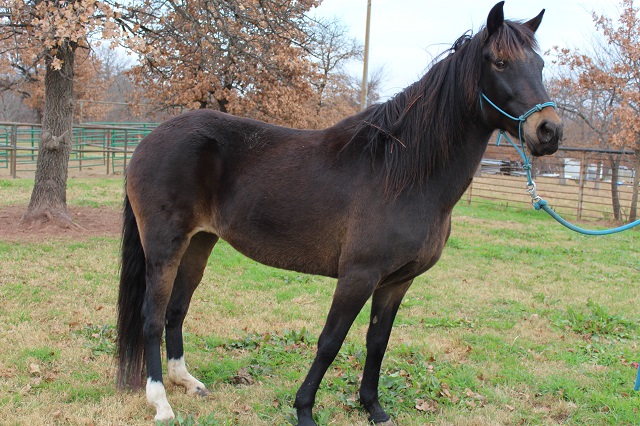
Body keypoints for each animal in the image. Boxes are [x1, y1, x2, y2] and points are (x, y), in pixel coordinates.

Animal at [115, 2, 560, 422]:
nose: (549, 131)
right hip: (164, 247)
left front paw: (373, 408)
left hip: (200, 242)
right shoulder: (357, 276)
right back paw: (160, 402)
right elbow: (330, 341)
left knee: (176, 310)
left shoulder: (396, 283)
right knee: (152, 317)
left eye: (539, 64)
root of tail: (146, 141)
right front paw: (304, 410)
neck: (402, 172)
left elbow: (376, 343)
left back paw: (186, 381)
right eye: (499, 62)